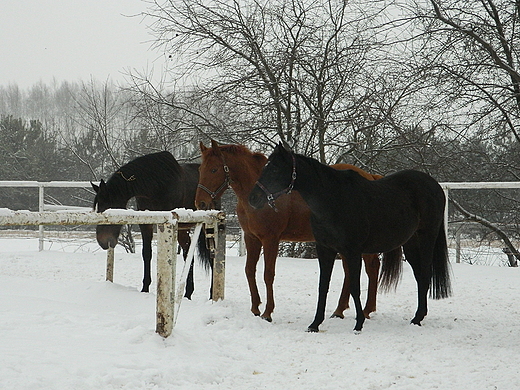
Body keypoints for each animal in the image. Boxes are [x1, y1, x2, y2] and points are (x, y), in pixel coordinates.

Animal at [92, 151, 212, 298]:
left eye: (107, 208)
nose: (102, 241)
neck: (155, 186)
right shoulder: (146, 224)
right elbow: (147, 253)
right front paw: (145, 288)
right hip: (183, 229)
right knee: (188, 253)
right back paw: (188, 293)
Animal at [195, 140, 382, 322]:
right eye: (200, 169)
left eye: (214, 169)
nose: (200, 203)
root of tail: (371, 178)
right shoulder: (251, 238)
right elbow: (249, 270)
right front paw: (255, 307)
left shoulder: (270, 239)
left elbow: (268, 274)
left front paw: (267, 312)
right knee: (350, 272)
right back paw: (339, 310)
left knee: (372, 267)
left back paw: (366, 310)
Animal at [249, 143, 450, 332]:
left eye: (275, 169)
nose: (253, 198)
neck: (334, 200)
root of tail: (434, 185)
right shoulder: (325, 250)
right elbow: (323, 286)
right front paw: (315, 324)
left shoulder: (352, 251)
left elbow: (354, 286)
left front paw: (359, 323)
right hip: (410, 244)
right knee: (419, 276)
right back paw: (418, 316)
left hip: (426, 239)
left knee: (425, 274)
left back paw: (417, 318)